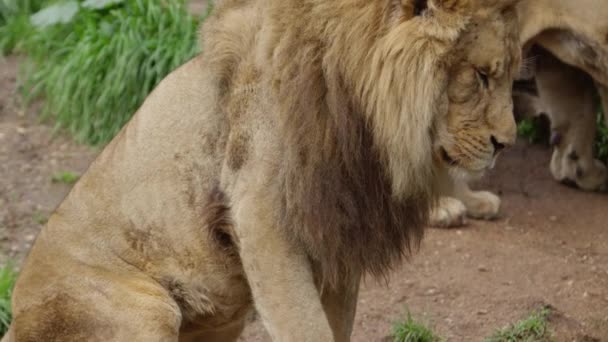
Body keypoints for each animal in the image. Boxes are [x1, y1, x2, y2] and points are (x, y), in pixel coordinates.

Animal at [2, 1, 520, 340]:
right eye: (481, 76)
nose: (506, 144)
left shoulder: (339, 229)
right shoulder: (261, 217)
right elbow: (305, 326)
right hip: (143, 308)